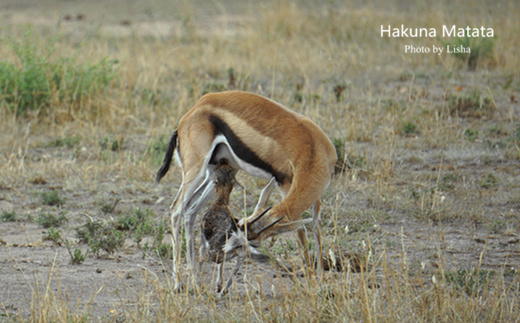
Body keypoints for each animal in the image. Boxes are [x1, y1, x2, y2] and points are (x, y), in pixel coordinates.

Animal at [199, 160, 282, 296]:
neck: (221, 203)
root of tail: (239, 238)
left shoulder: (204, 241)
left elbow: (201, 261)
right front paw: (218, 286)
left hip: (216, 253)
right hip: (240, 252)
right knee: (237, 264)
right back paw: (223, 291)